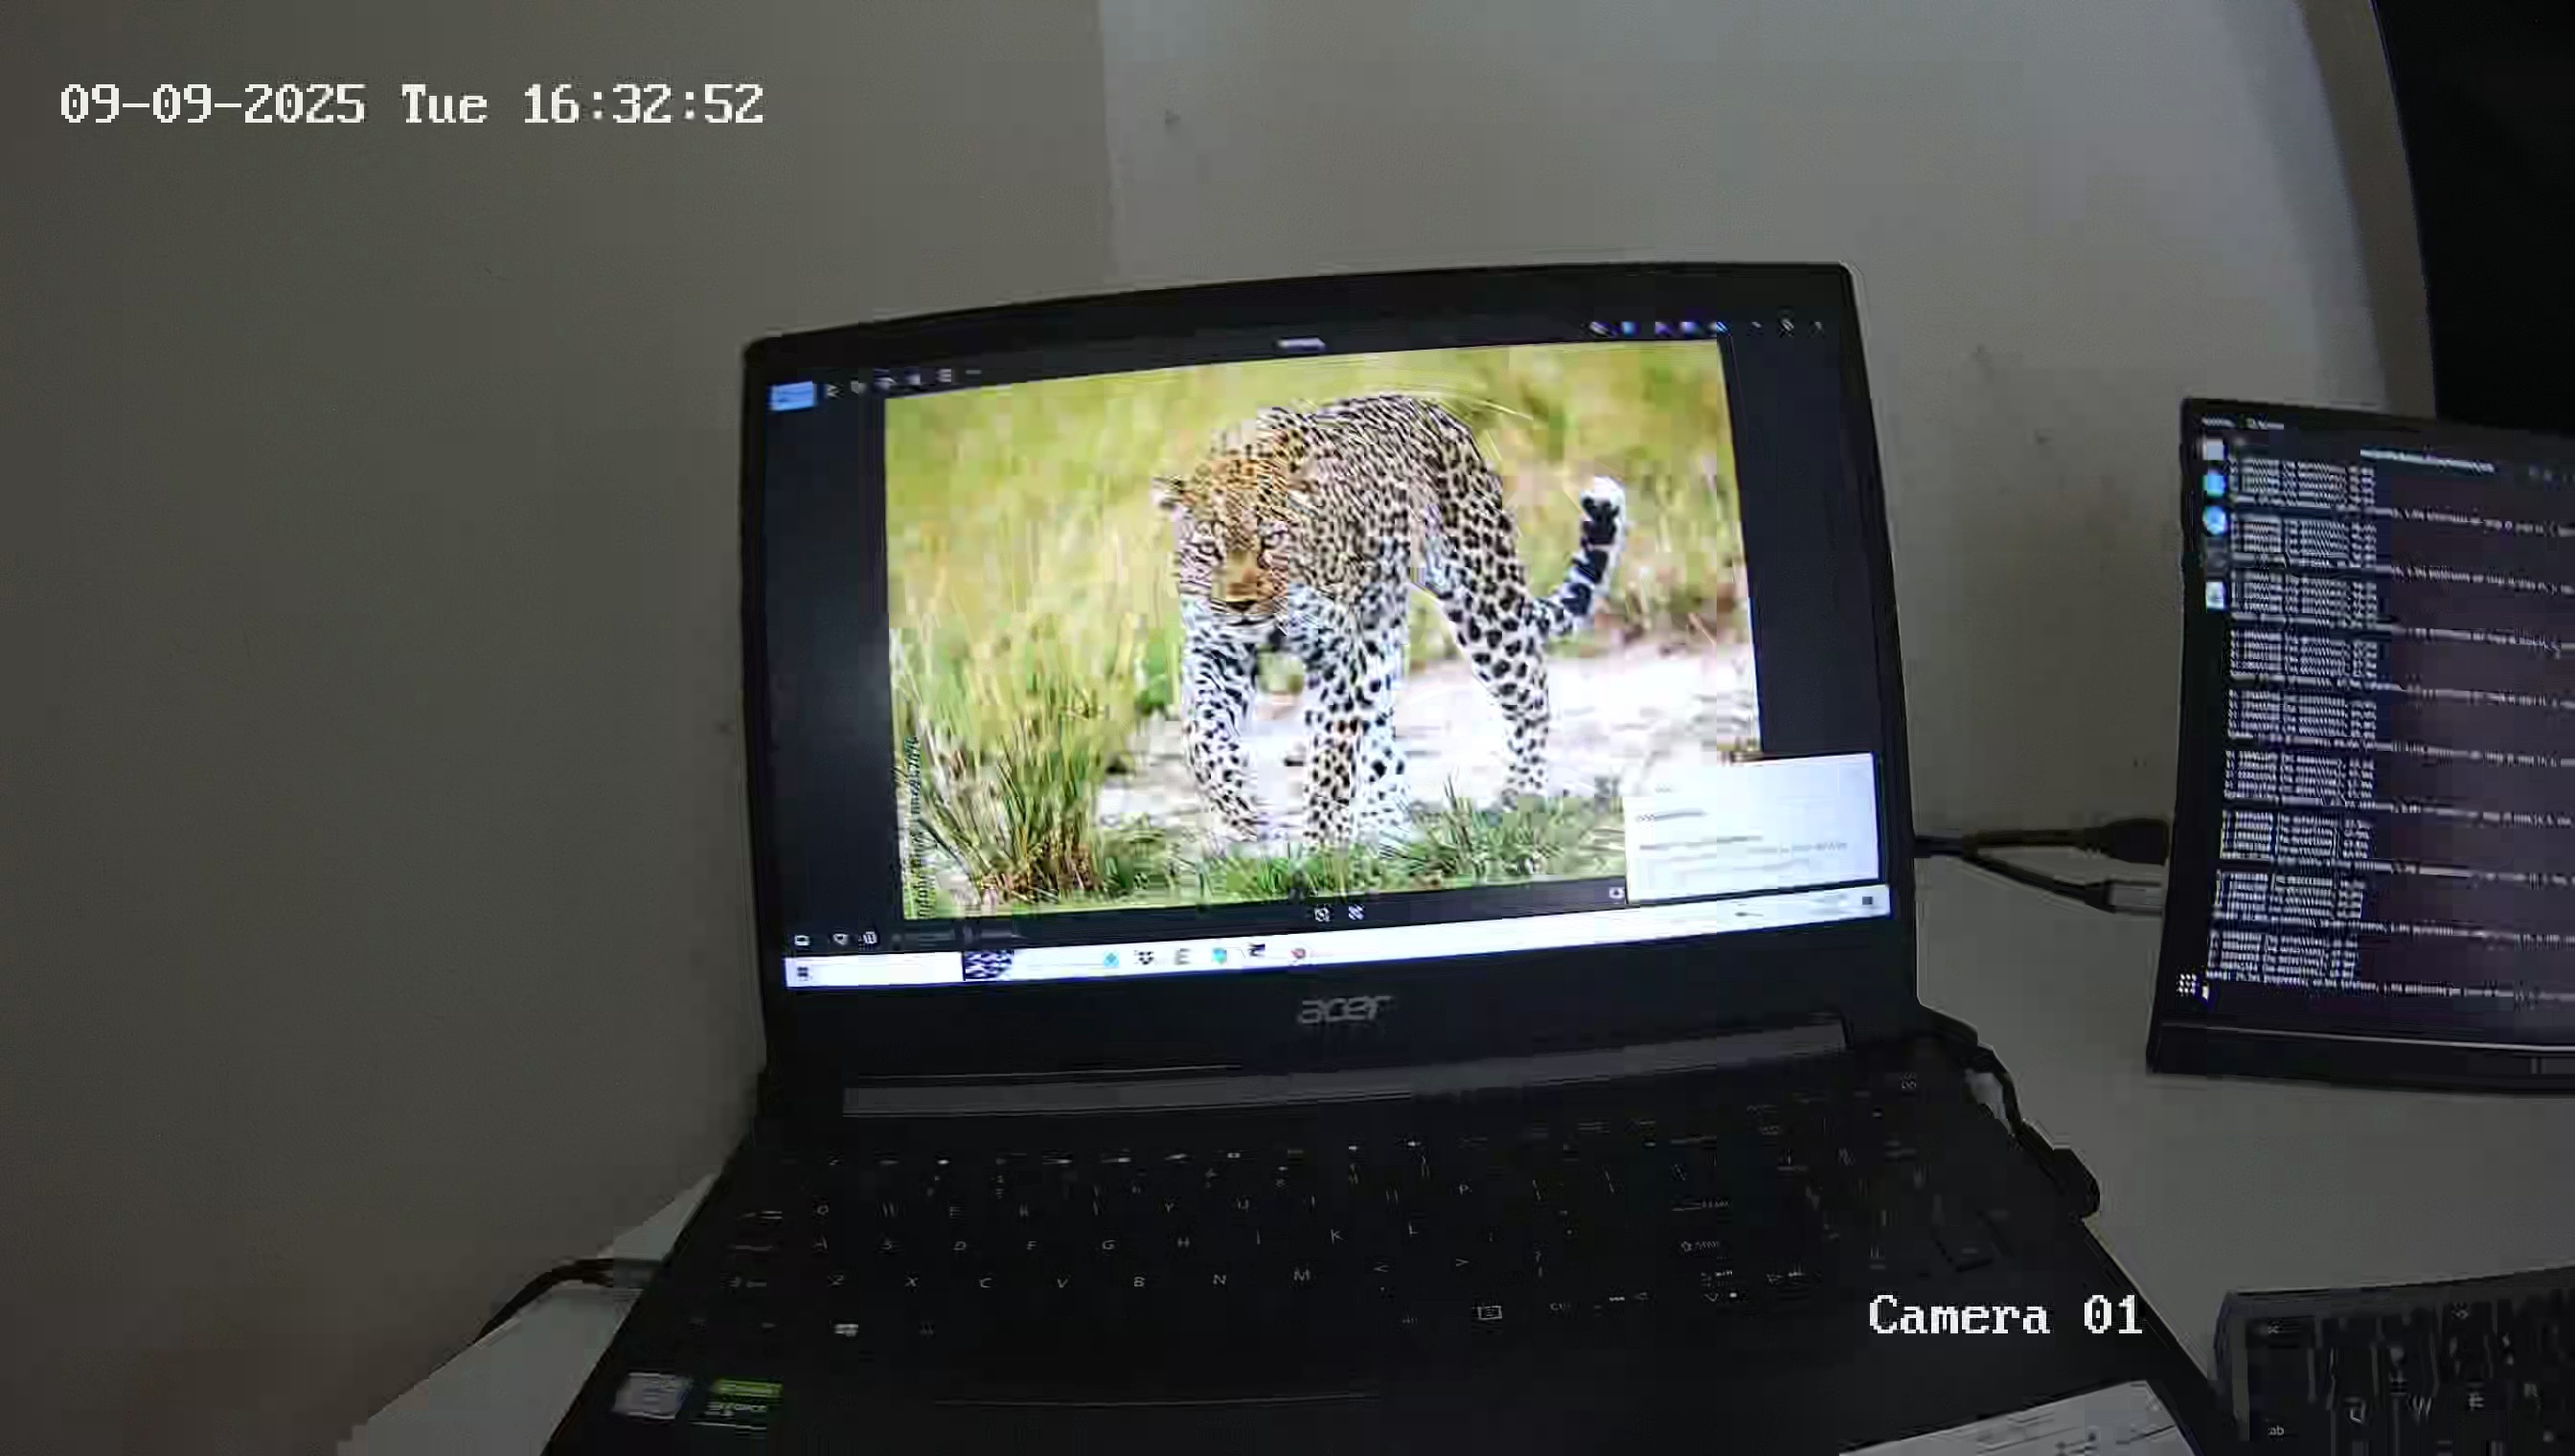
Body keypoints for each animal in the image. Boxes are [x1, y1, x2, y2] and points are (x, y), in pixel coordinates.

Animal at [1152, 392, 1627, 846]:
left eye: (1271, 543)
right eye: (1209, 550)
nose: (1241, 604)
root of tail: (1432, 409)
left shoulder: (1335, 653)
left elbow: (1332, 753)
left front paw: (1325, 842)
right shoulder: (1217, 652)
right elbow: (1203, 735)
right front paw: (1242, 812)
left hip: (1485, 601)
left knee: (1531, 695)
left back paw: (1521, 795)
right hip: (1380, 637)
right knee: (1383, 736)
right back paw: (1386, 826)